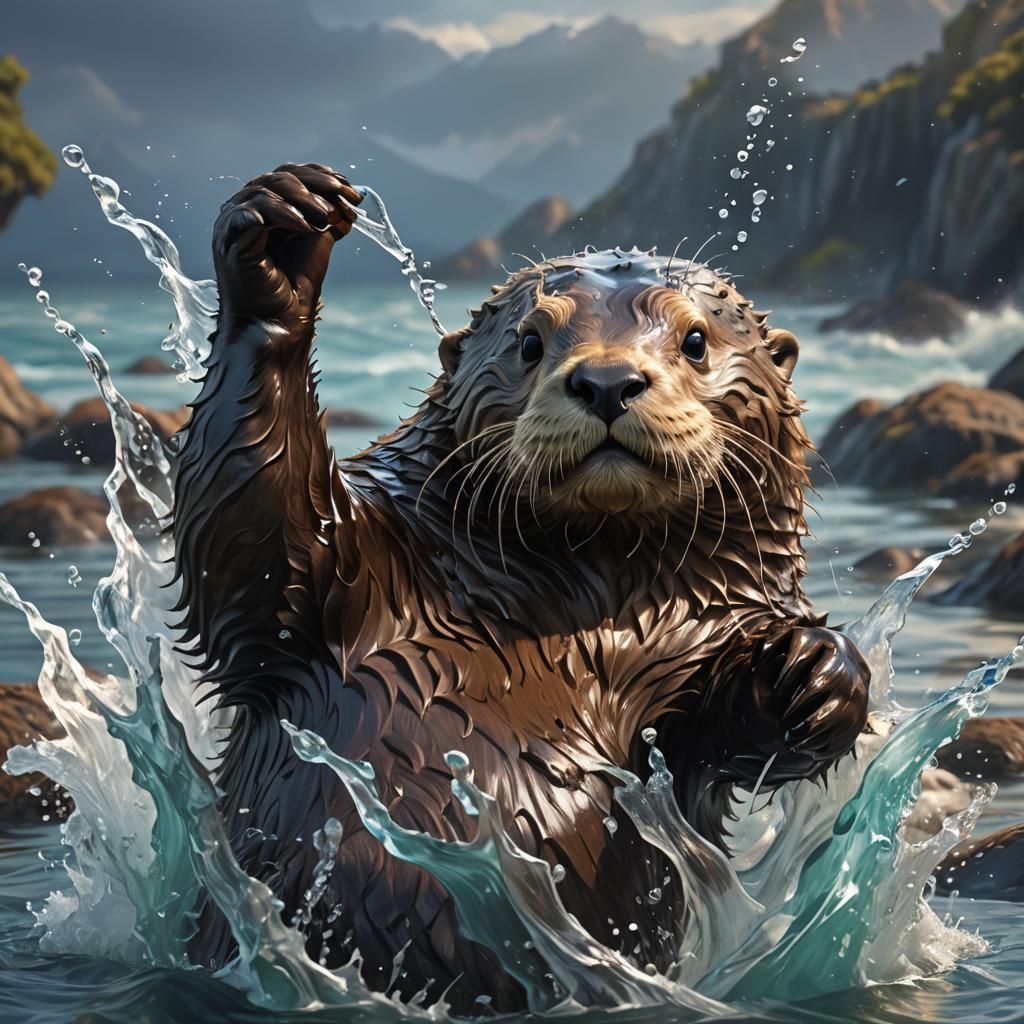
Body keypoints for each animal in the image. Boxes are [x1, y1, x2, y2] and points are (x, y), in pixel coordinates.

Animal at [172, 163, 870, 1010]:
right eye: (531, 342)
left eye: (697, 340)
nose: (606, 380)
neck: (582, 619)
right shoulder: (342, 571)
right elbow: (254, 546)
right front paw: (280, 234)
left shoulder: (701, 652)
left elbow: (743, 731)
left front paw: (816, 670)